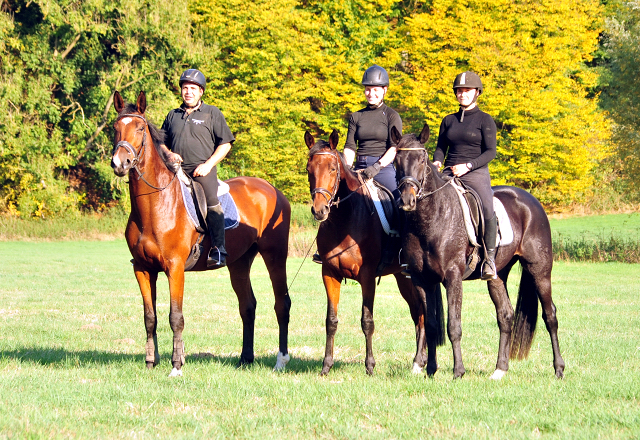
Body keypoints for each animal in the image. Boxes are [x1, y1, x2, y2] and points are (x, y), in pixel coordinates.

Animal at [111, 91, 292, 376]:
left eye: (139, 128)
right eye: (115, 128)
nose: (120, 163)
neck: (156, 204)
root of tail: (272, 190)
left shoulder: (174, 268)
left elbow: (175, 317)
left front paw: (177, 365)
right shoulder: (142, 268)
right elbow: (150, 317)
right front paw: (151, 361)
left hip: (275, 255)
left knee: (281, 303)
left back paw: (281, 360)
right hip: (239, 262)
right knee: (247, 306)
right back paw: (245, 359)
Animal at [302, 130, 438, 374]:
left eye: (333, 169)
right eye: (309, 169)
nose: (319, 210)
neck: (344, 220)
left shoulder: (366, 276)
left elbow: (367, 321)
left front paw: (370, 366)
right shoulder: (329, 274)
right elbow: (331, 321)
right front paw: (326, 365)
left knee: (423, 315)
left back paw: (418, 362)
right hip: (403, 278)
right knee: (417, 315)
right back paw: (420, 360)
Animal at [390, 125, 564, 380]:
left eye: (422, 158)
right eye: (396, 161)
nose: (406, 200)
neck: (432, 218)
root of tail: (531, 201)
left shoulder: (452, 277)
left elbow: (453, 326)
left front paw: (458, 372)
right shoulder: (423, 280)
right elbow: (430, 325)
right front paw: (430, 370)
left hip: (539, 270)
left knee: (550, 315)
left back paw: (559, 368)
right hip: (498, 276)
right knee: (506, 316)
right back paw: (500, 369)